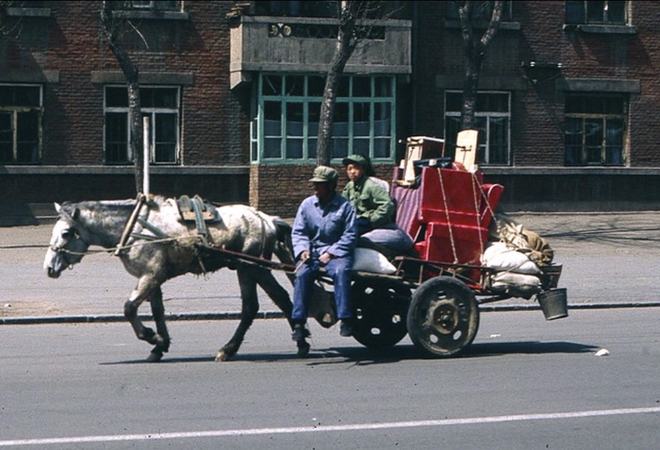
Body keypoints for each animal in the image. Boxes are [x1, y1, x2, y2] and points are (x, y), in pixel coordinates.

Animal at [43, 197, 310, 362]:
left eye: (66, 233)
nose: (48, 268)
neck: (135, 228)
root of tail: (266, 218)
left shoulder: (150, 276)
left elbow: (129, 309)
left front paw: (151, 336)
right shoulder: (152, 279)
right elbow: (158, 311)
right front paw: (160, 346)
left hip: (252, 268)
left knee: (272, 301)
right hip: (248, 269)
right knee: (260, 304)